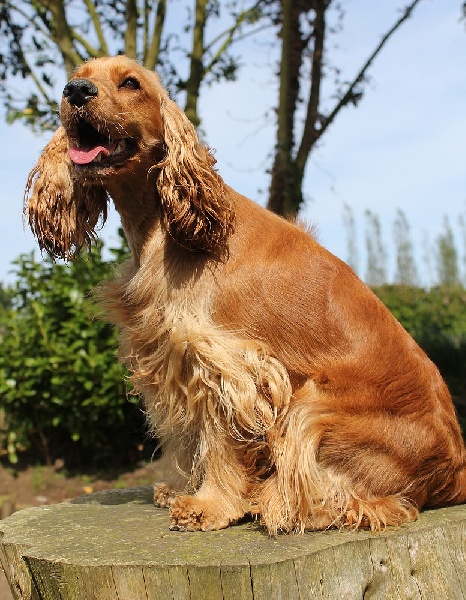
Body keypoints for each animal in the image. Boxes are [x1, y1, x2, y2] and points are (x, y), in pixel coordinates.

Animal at [24, 56, 466, 536]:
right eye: (77, 75)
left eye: (130, 83)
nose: (76, 91)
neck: (164, 227)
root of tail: (454, 474)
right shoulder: (170, 353)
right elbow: (188, 436)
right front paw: (181, 489)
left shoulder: (225, 363)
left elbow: (218, 438)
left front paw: (209, 505)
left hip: (312, 409)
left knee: (361, 502)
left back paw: (273, 500)